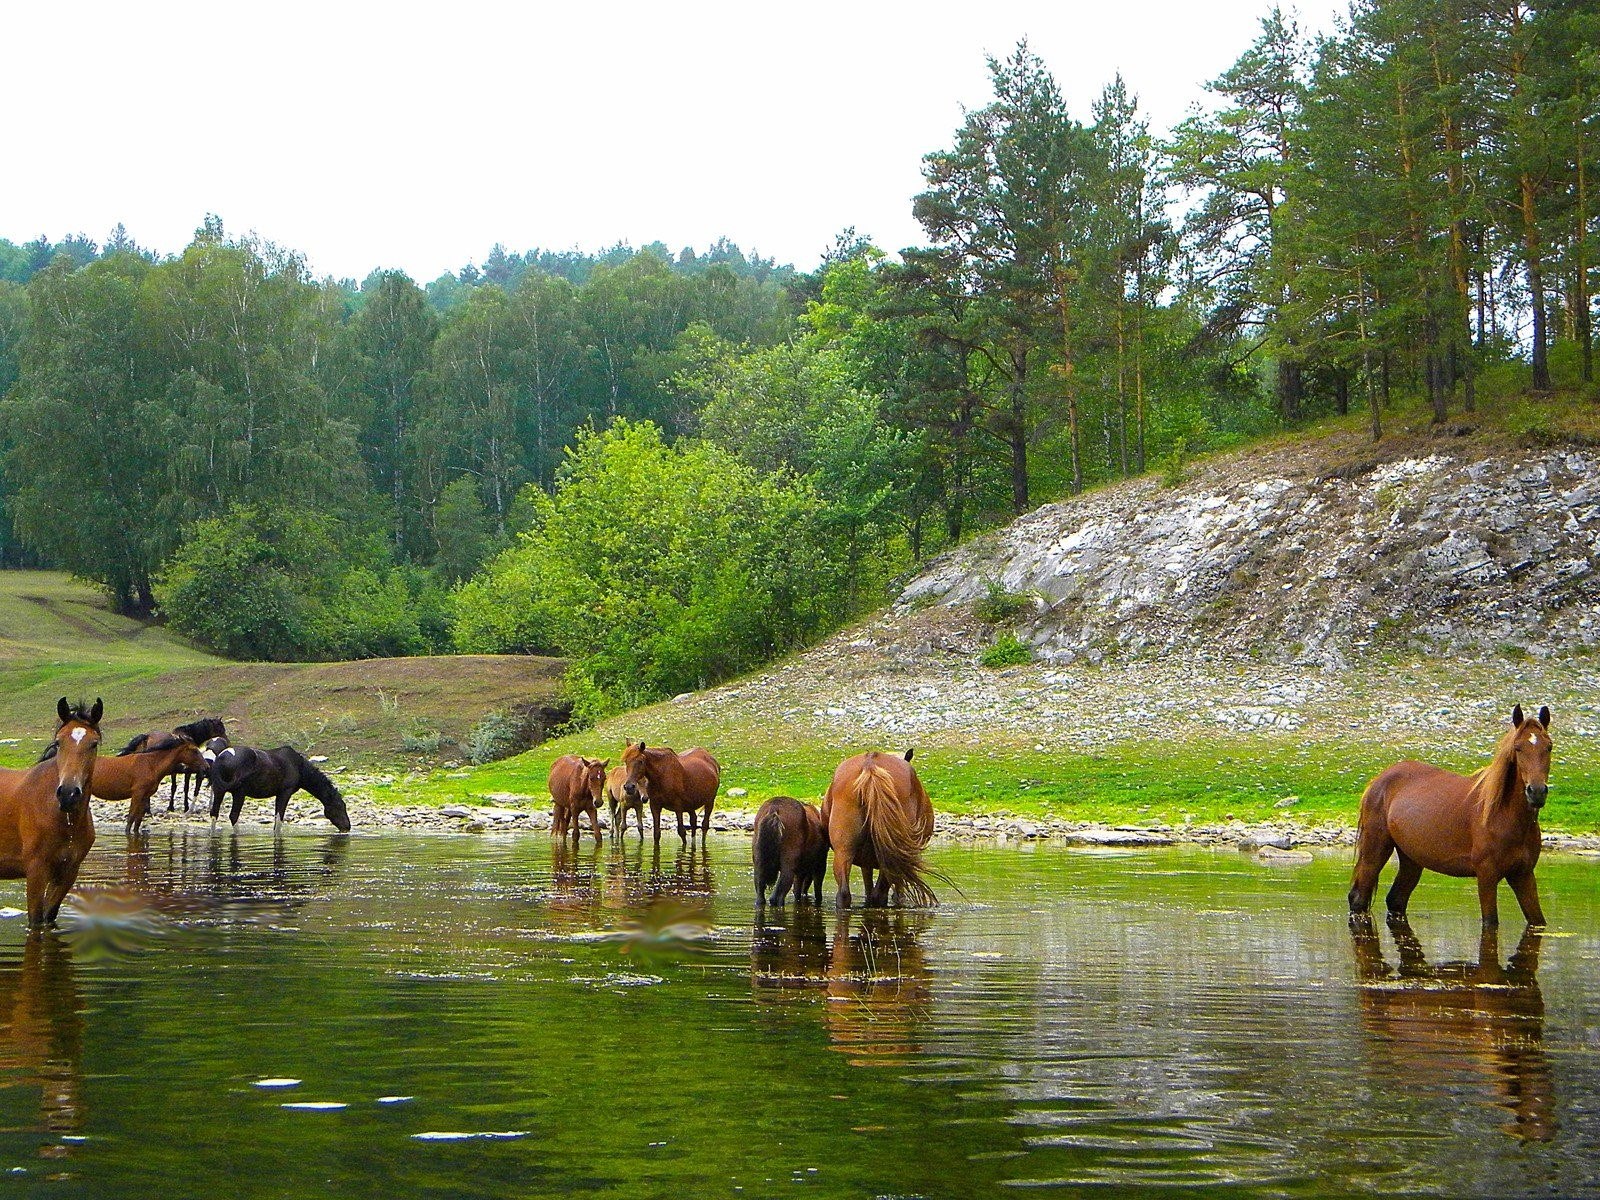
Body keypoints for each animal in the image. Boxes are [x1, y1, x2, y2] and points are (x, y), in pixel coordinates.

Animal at [0, 694, 102, 928]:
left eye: (93, 744)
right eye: (58, 742)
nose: (68, 794)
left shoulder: (67, 873)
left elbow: (49, 917)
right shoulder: (36, 872)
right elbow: (36, 922)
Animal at [209, 742, 350, 838]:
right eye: (340, 806)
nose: (347, 827)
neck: (300, 768)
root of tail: (221, 758)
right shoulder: (285, 792)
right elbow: (279, 821)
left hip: (219, 790)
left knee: (214, 814)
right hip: (239, 793)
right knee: (233, 816)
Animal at [825, 752, 934, 908]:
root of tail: (870, 767)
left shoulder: (865, 862)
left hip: (844, 850)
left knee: (844, 893)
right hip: (891, 856)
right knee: (879, 894)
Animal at [1344, 704, 1555, 928]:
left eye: (1549, 747)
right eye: (1517, 747)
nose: (1537, 792)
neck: (1504, 816)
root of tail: (1378, 781)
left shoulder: (1523, 875)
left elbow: (1537, 921)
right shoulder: (1487, 876)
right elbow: (1490, 923)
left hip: (1411, 859)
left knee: (1396, 900)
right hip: (1375, 851)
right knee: (1358, 899)